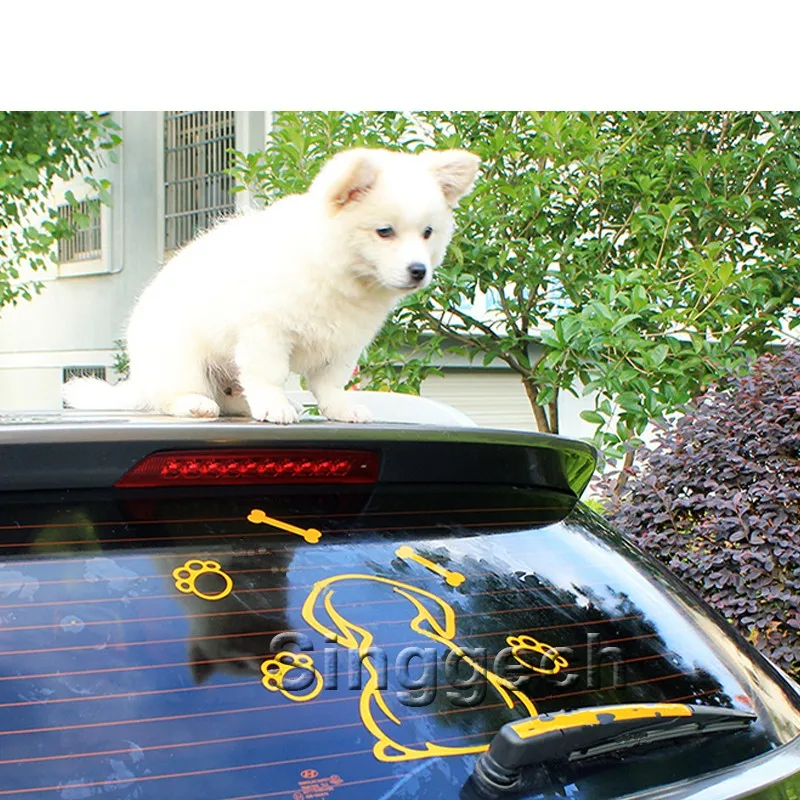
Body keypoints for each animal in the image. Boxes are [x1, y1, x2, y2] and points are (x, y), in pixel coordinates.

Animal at [63, 147, 480, 423]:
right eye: (384, 232)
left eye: (427, 233)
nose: (418, 270)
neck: (337, 274)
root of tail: (139, 379)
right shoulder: (266, 332)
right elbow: (269, 375)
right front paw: (275, 405)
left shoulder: (342, 346)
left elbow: (331, 384)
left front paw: (339, 409)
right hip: (182, 361)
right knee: (173, 395)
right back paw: (194, 403)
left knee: (232, 395)